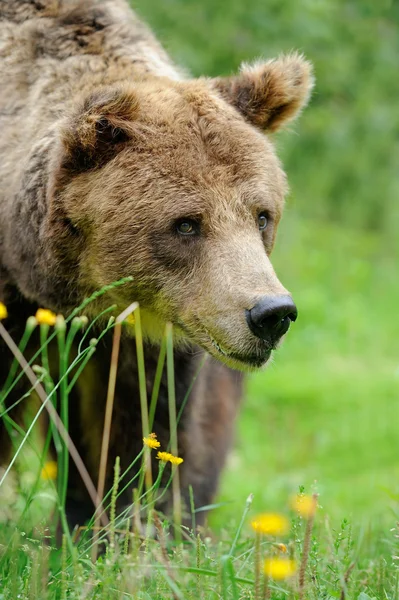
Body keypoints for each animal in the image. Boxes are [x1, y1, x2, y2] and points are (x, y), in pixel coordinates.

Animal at [0, 0, 312, 524]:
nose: (271, 314)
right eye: (186, 224)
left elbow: (140, 433)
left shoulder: (150, 337)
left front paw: (119, 521)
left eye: (262, 215)